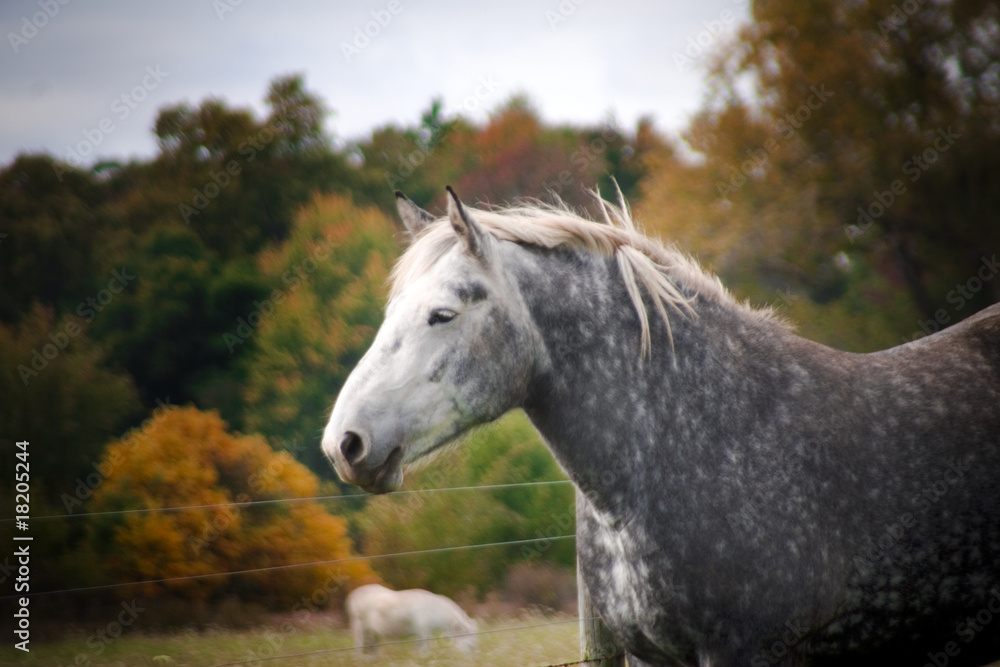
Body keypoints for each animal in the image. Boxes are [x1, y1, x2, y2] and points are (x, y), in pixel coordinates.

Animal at [345, 583, 478, 653]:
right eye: (470, 644)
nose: (472, 655)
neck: (436, 611)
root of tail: (353, 595)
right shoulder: (424, 630)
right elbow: (425, 648)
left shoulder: (419, 633)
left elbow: (417, 649)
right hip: (358, 625)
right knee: (358, 646)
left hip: (373, 632)